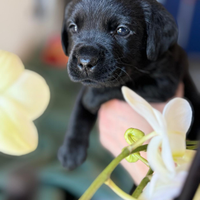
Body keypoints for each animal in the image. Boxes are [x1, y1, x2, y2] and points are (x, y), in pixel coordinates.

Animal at [57, 0, 200, 170]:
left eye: (122, 30)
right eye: (73, 27)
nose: (85, 62)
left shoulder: (165, 83)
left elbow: (121, 87)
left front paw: (92, 99)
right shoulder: (87, 85)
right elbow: (79, 111)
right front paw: (71, 149)